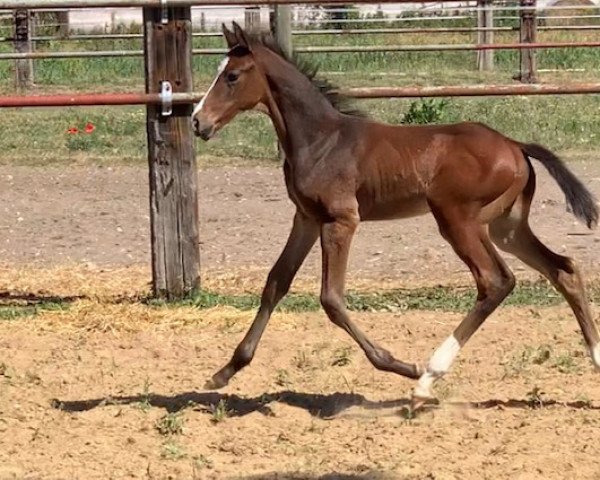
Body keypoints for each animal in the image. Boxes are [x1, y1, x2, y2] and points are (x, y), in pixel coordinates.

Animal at [193, 22, 600, 404]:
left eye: (232, 76)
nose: (198, 121)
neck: (321, 140)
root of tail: (515, 145)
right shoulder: (306, 218)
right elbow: (276, 283)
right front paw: (225, 371)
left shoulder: (341, 220)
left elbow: (331, 299)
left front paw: (401, 365)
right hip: (506, 227)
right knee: (562, 269)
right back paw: (596, 357)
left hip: (458, 220)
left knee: (495, 281)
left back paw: (427, 378)